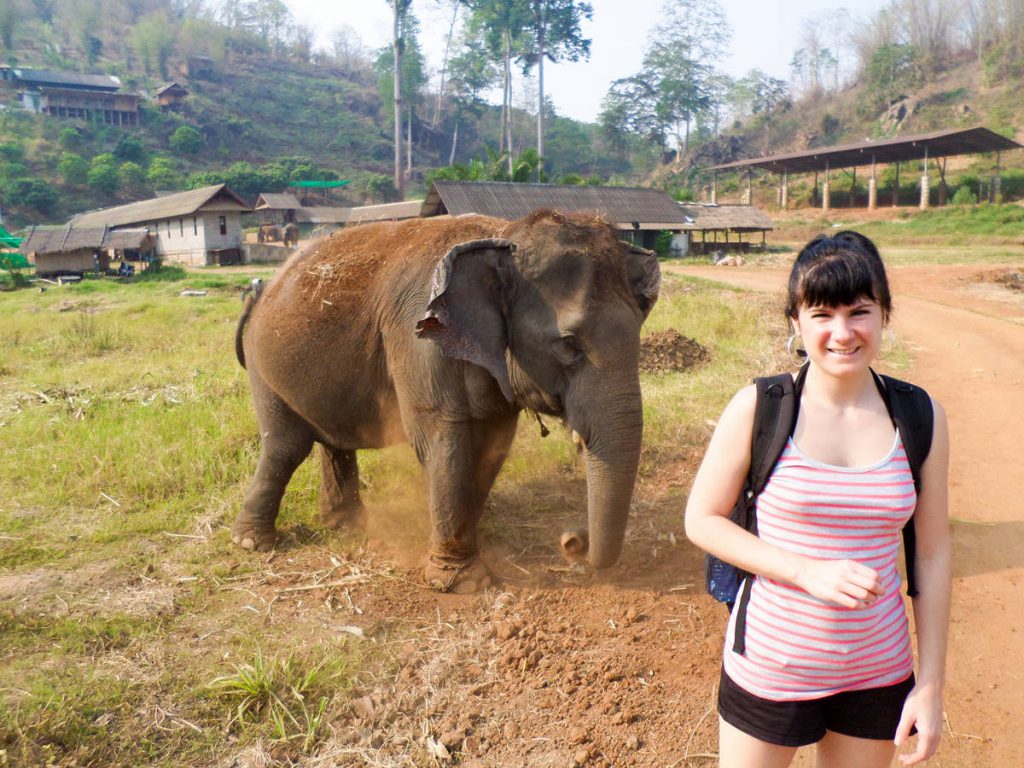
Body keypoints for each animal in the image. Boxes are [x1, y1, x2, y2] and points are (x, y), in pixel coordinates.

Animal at [232, 210, 659, 593]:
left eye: (638, 332)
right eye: (569, 344)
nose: (572, 542)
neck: (503, 236)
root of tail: (262, 288)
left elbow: (493, 442)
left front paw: (472, 542)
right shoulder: (417, 336)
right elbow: (442, 437)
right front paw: (463, 582)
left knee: (333, 442)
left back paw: (345, 525)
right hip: (263, 367)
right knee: (286, 446)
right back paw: (252, 542)